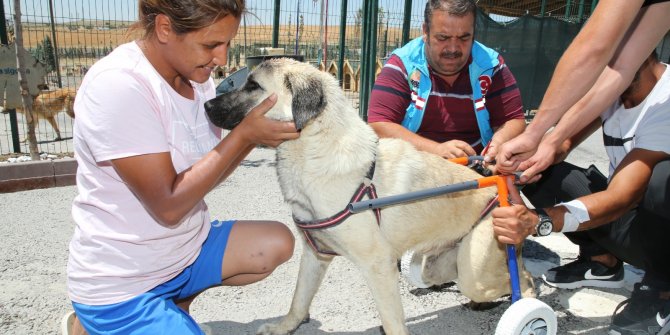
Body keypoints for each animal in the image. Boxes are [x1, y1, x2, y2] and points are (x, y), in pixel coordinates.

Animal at [205, 59, 536, 334]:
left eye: (253, 86)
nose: (206, 104)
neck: (315, 148)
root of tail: (500, 189)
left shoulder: (379, 267)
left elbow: (392, 323)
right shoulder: (315, 255)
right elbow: (298, 302)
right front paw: (283, 328)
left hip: (474, 272)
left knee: (524, 278)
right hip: (437, 265)